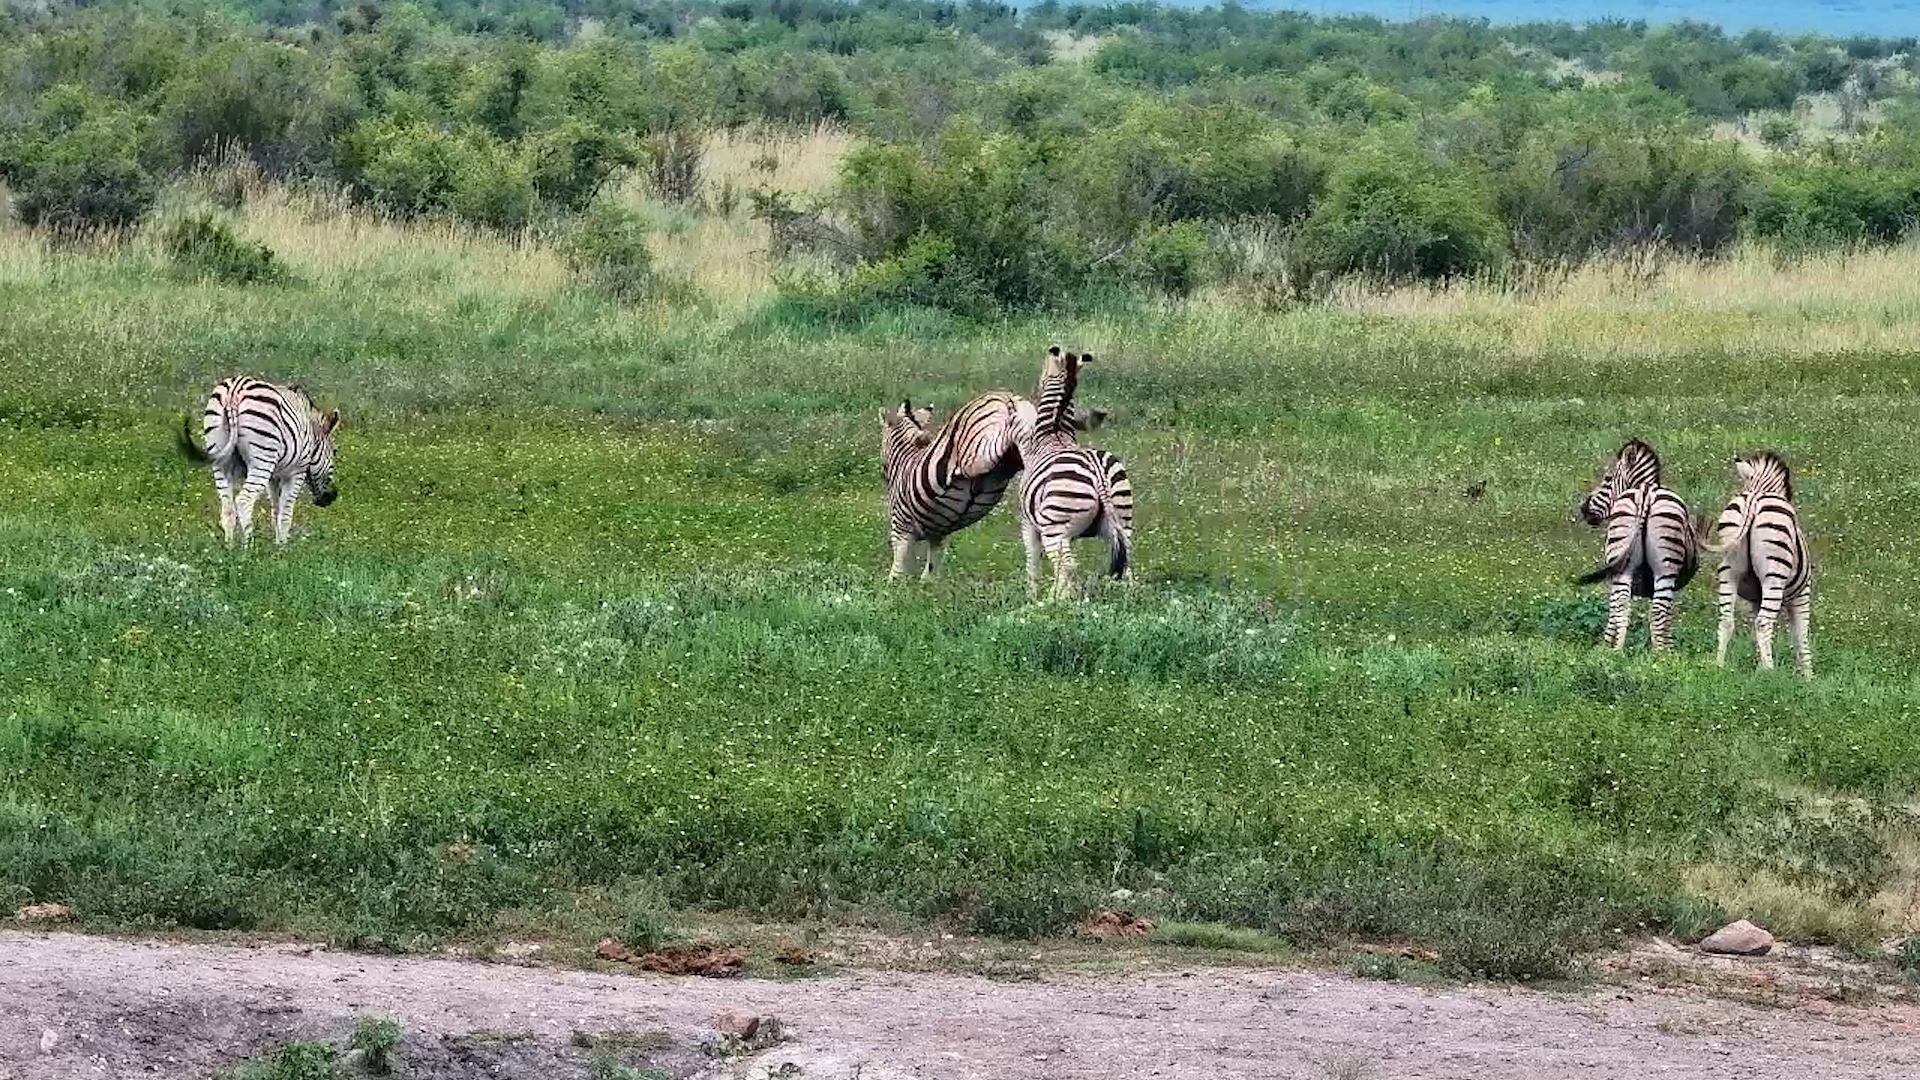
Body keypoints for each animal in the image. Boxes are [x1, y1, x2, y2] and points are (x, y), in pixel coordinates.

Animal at [177, 377, 340, 546]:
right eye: (335, 452)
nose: (332, 497)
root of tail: (233, 392)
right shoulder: (296, 472)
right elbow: (286, 513)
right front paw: (285, 546)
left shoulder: (274, 476)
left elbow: (276, 511)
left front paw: (278, 544)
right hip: (262, 460)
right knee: (243, 501)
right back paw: (249, 547)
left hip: (220, 458)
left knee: (227, 507)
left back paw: (229, 547)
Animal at [1009, 346, 1134, 599]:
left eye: (1042, 376)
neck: (1055, 432)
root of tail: (1099, 475)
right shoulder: (1071, 534)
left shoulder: (1029, 524)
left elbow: (1032, 561)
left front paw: (1032, 597)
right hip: (1122, 519)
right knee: (1126, 564)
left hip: (1054, 529)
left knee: (1067, 566)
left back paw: (1056, 602)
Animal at [1574, 438, 1698, 651]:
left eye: (1607, 478)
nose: (1584, 508)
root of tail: (1645, 494)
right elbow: (1667, 620)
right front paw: (1668, 647)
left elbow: (1614, 611)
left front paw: (1606, 645)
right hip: (1666, 568)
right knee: (1657, 613)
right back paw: (1661, 656)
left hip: (1622, 559)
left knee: (1622, 607)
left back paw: (1617, 651)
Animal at [1702, 450, 1812, 677]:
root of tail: (1754, 498)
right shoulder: (1803, 593)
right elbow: (1801, 637)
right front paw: (1808, 678)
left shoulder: (1755, 598)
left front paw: (1759, 669)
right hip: (1774, 576)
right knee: (1763, 623)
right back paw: (1772, 673)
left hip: (1729, 571)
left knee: (1726, 620)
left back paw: (1719, 666)